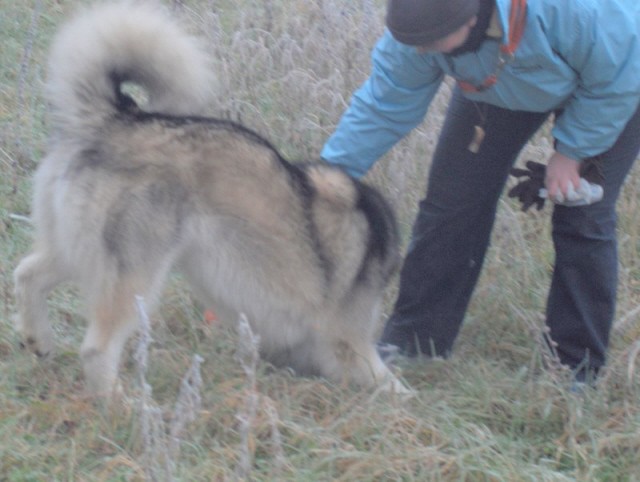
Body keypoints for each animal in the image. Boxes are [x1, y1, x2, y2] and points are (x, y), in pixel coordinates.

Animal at [13, 1, 410, 398]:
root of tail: (115, 118)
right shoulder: (349, 344)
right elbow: (389, 385)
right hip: (136, 275)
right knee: (97, 348)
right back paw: (122, 403)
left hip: (77, 250)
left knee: (27, 274)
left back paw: (39, 341)